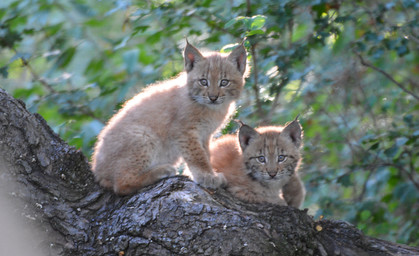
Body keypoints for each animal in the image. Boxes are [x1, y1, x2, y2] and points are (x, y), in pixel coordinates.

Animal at [91, 41, 249, 194]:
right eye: (203, 81)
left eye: (224, 82)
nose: (213, 97)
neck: (212, 108)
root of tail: (96, 171)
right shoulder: (185, 132)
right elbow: (197, 156)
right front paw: (207, 177)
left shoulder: (205, 134)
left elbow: (206, 154)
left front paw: (205, 174)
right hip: (143, 135)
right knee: (121, 185)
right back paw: (161, 171)